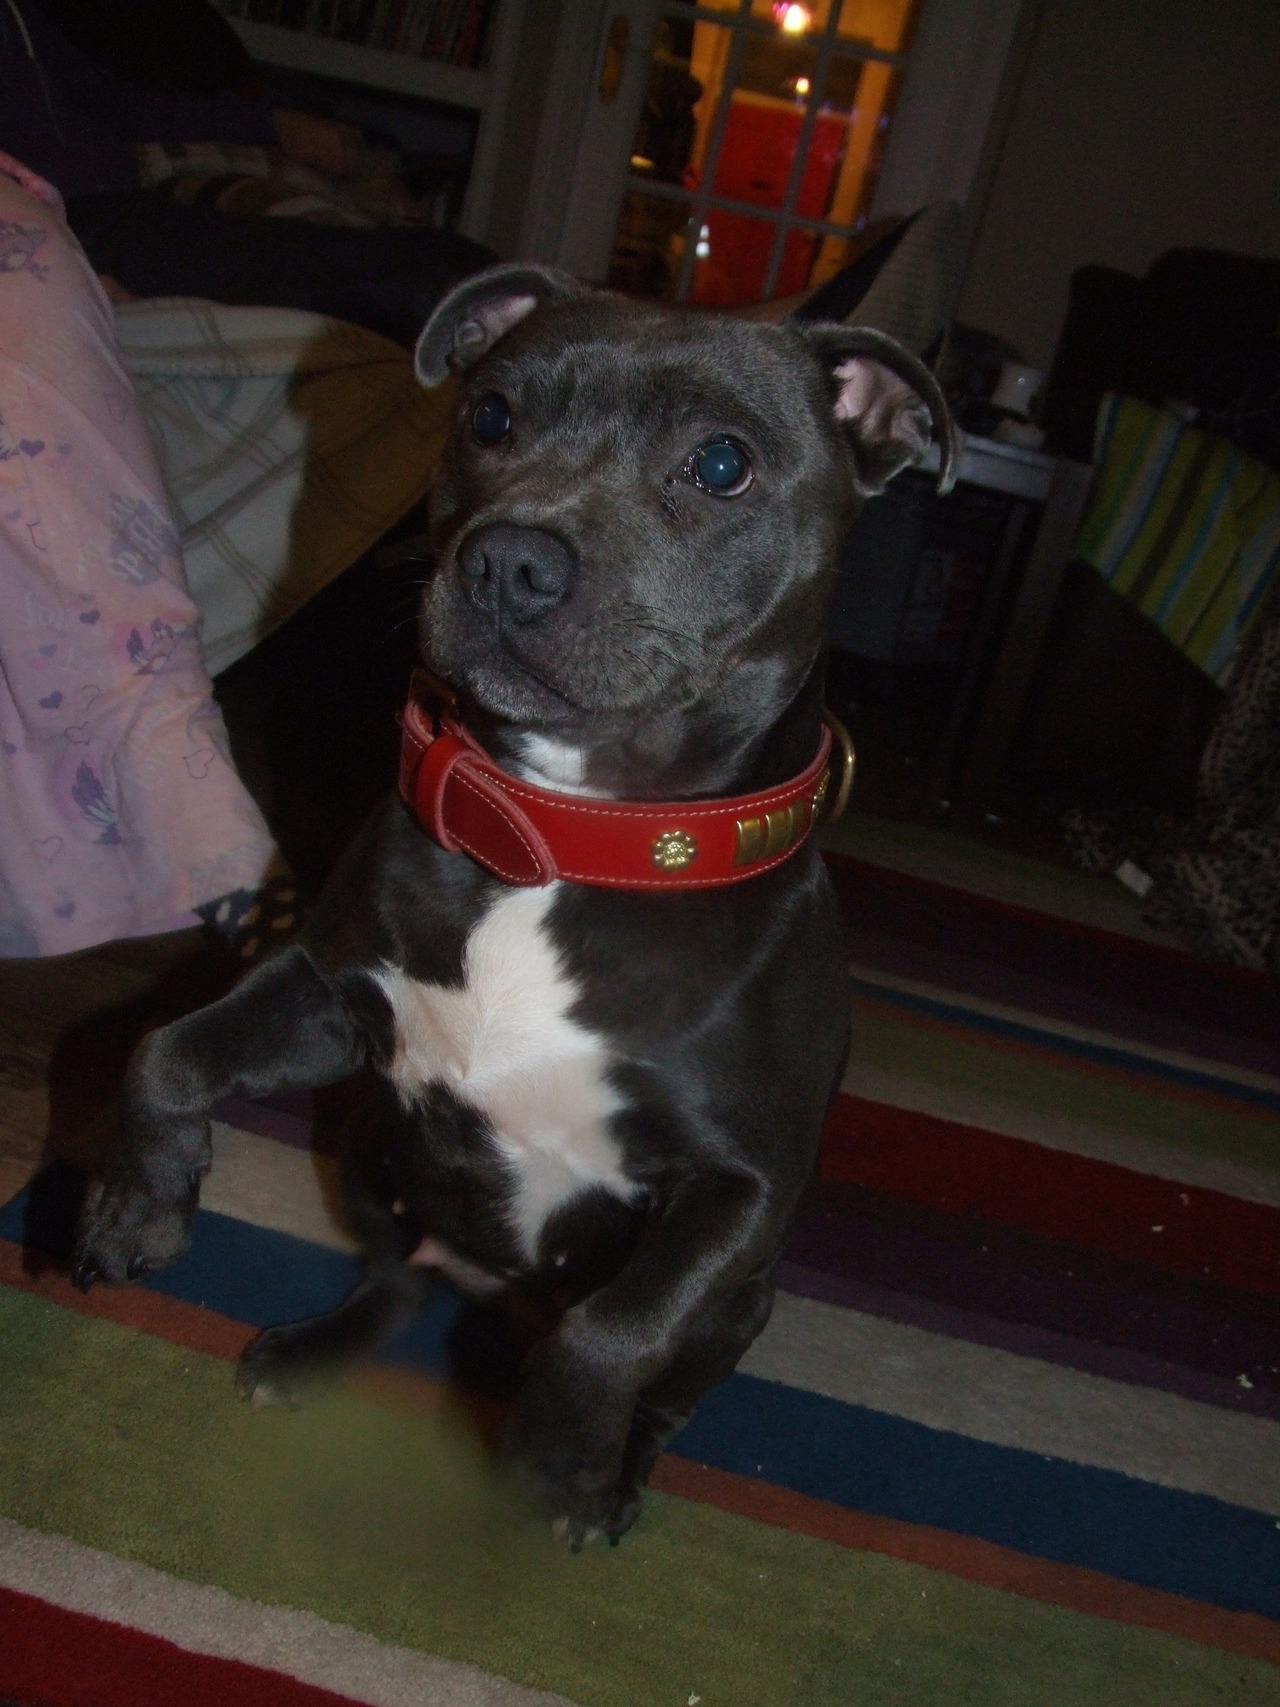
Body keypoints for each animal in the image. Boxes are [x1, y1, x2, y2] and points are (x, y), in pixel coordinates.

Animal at [69, 262, 955, 1549]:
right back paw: (313, 1351)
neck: (561, 835)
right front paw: (137, 1206)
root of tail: (490, 1291)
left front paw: (557, 1461)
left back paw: (614, 1476)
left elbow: (612, 1332)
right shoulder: (330, 1000)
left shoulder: (733, 1194)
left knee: (656, 1383)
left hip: (742, 1306)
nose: (507, 563)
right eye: (490, 416)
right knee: (393, 1278)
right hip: (369, 1148)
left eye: (721, 464)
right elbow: (164, 1053)